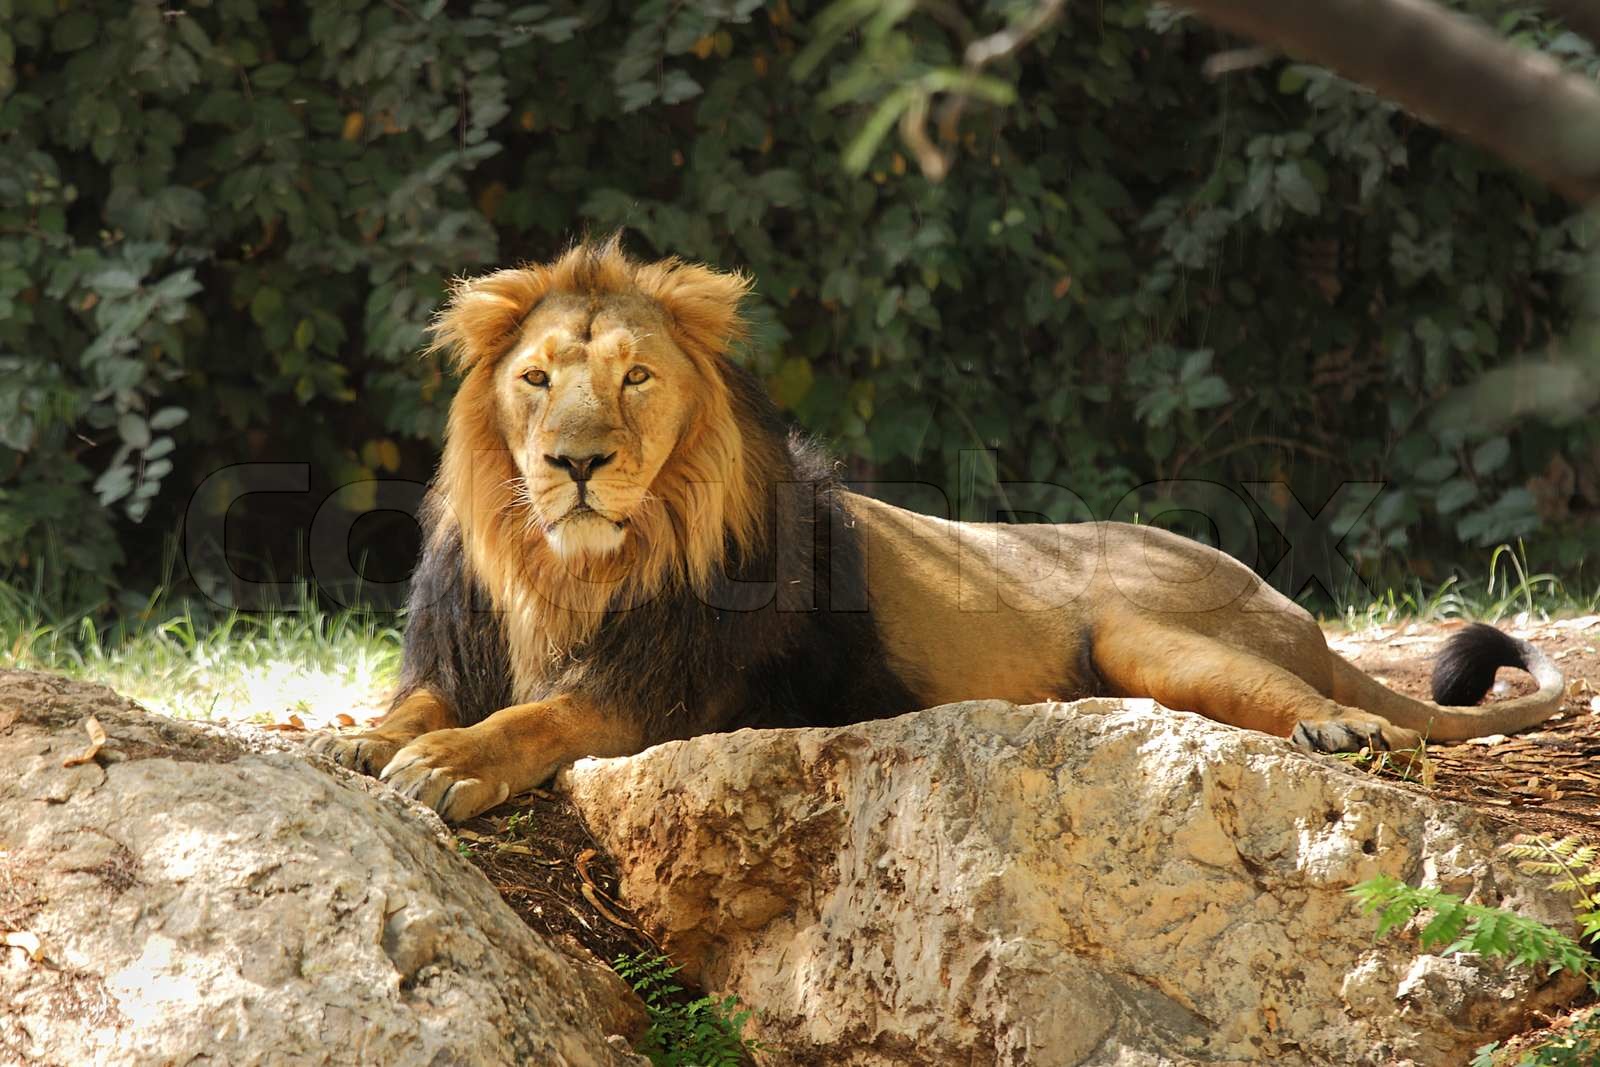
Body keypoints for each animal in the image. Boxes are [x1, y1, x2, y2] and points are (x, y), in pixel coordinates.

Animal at [309, 238, 1565, 822]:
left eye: (634, 379)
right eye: (534, 380)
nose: (575, 462)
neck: (562, 570)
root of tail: (1294, 610)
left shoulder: (667, 696)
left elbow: (536, 715)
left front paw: (448, 764)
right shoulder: (455, 651)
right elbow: (413, 702)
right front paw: (359, 741)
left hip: (1146, 630)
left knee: (1340, 706)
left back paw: (1342, 729)